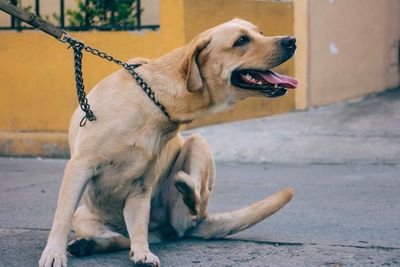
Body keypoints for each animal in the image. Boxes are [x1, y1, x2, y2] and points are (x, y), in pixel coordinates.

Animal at [39, 18, 296, 267]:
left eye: (260, 33)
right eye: (241, 41)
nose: (291, 41)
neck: (154, 101)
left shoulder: (141, 187)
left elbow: (139, 227)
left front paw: (143, 253)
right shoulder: (80, 167)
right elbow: (61, 218)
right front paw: (54, 253)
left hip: (197, 144)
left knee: (190, 207)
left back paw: (184, 189)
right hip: (84, 216)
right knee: (117, 236)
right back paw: (88, 244)